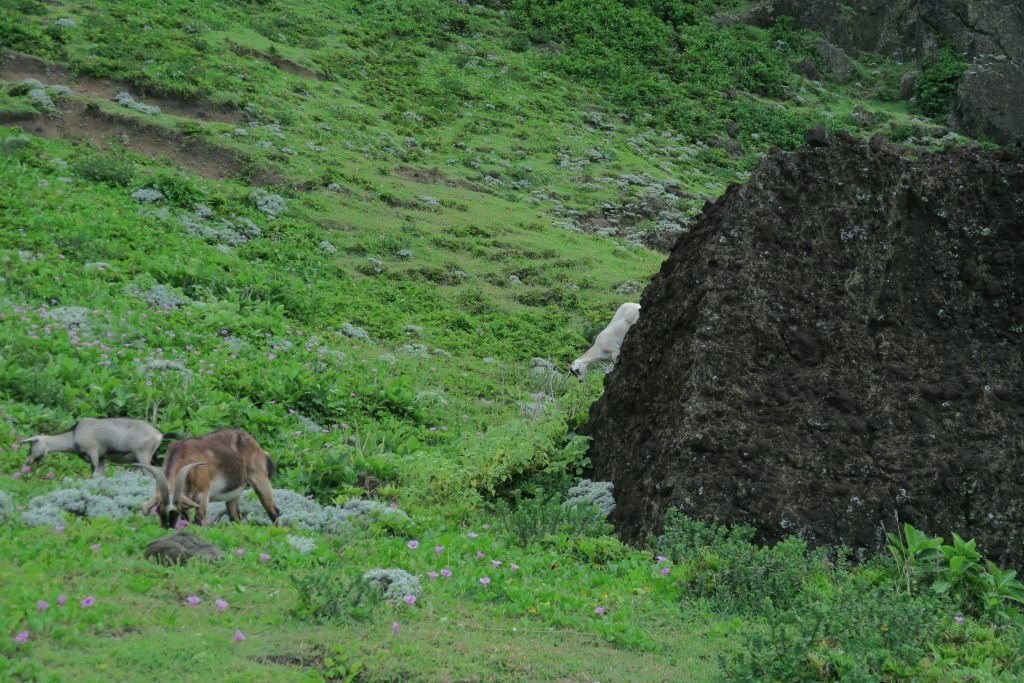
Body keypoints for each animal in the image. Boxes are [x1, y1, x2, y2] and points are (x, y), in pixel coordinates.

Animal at [136, 428, 282, 528]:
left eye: (175, 511)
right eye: (158, 510)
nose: (168, 528)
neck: (183, 456)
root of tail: (259, 449)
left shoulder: (203, 494)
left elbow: (198, 519)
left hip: (260, 479)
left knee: (274, 511)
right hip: (233, 495)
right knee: (235, 517)